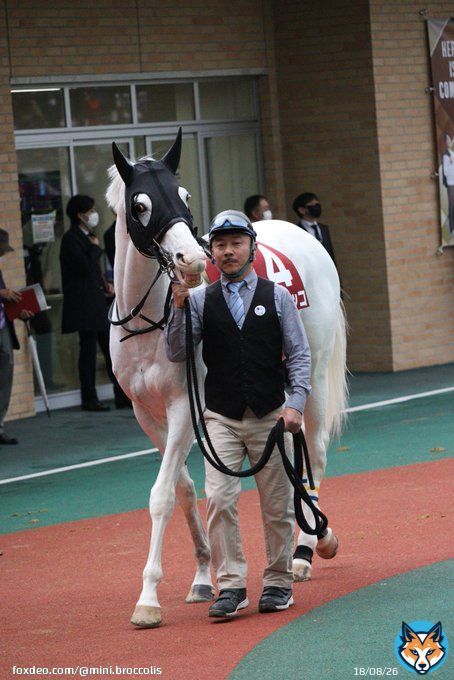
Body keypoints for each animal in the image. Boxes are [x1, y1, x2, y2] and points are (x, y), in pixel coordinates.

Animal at [106, 129, 348, 628]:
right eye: (140, 205)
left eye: (183, 195)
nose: (191, 260)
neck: (151, 320)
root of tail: (303, 234)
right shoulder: (145, 413)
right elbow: (183, 489)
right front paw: (203, 577)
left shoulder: (184, 405)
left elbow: (160, 495)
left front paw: (148, 598)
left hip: (312, 371)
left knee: (312, 450)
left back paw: (306, 549)